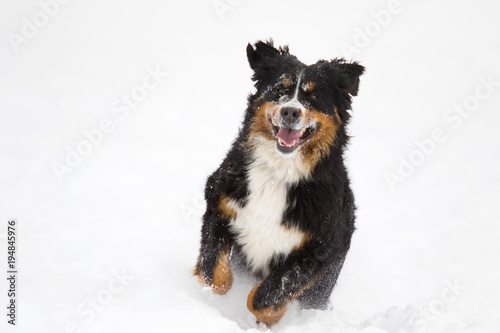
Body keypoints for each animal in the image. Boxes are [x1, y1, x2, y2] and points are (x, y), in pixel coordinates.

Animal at [194, 39, 364, 326]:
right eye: (280, 89)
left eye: (314, 96)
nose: (290, 111)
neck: (278, 174)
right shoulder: (219, 202)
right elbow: (214, 275)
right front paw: (212, 302)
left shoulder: (320, 246)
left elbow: (265, 295)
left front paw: (271, 316)